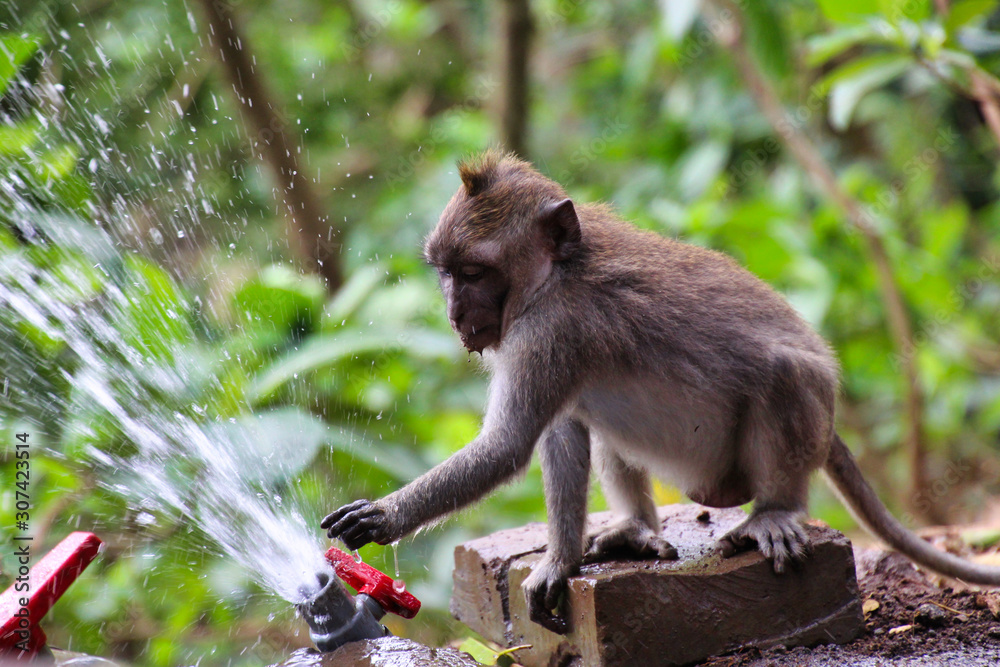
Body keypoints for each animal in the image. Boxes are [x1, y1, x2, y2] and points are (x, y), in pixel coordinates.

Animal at [320, 149, 1000, 636]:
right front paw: (561, 560)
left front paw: (383, 515)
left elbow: (509, 445)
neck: (556, 274)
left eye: (473, 272)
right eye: (445, 274)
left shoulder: (548, 332)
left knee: (782, 374)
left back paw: (776, 510)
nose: (457, 315)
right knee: (598, 416)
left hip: (761, 446)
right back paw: (637, 527)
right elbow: (561, 434)